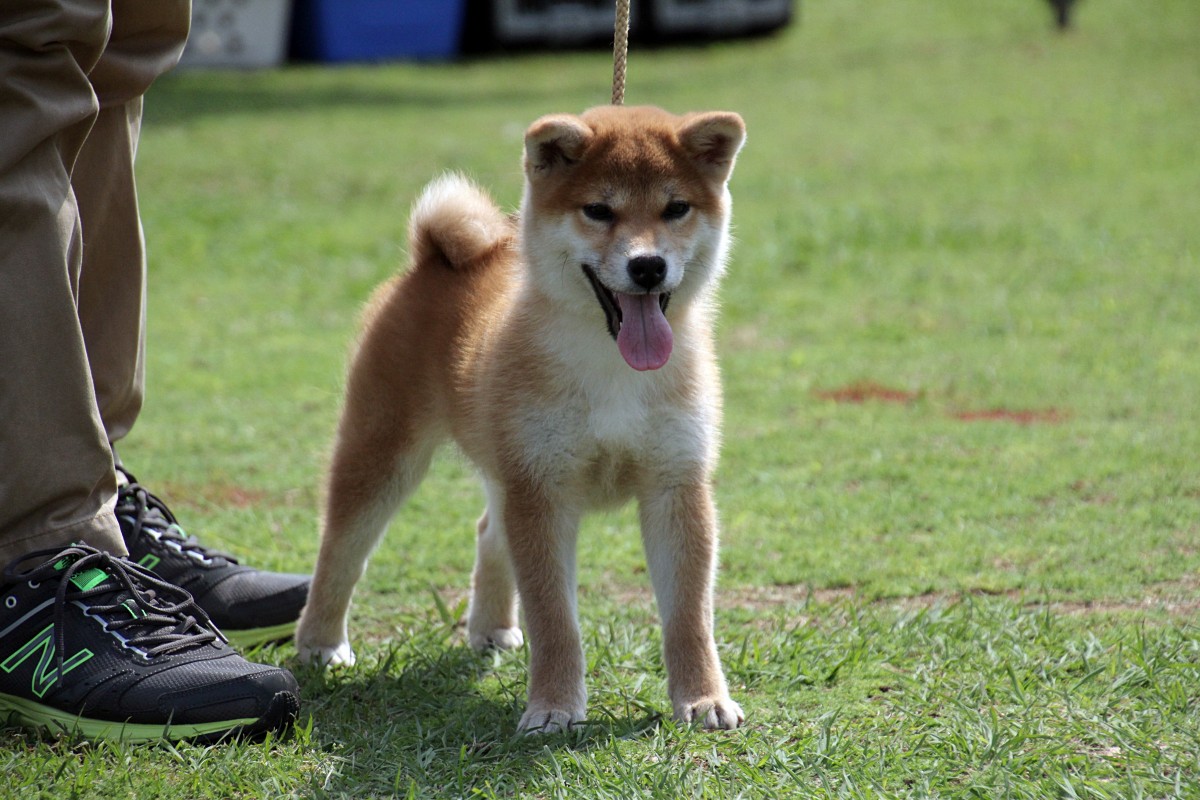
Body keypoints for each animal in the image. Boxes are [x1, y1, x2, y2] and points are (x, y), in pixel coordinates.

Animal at [295, 104, 744, 734]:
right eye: (599, 210)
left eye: (675, 208)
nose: (648, 266)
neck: (613, 367)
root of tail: (436, 257)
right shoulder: (542, 490)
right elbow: (555, 619)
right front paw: (553, 708)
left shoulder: (675, 484)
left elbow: (689, 616)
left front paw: (703, 699)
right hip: (384, 452)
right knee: (341, 548)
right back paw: (320, 642)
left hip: (502, 462)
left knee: (489, 531)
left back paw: (489, 627)